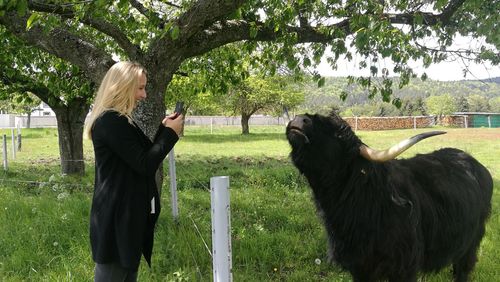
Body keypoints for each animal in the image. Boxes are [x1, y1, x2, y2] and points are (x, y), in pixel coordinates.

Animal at [286, 112, 492, 282]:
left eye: (338, 134)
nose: (299, 119)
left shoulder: (404, 267)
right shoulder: (359, 267)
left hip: (471, 243)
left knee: (462, 270)